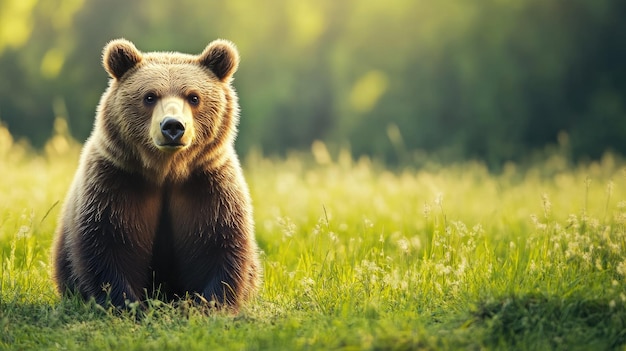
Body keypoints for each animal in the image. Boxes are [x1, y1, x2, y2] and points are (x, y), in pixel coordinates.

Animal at [50, 39, 260, 314]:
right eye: (149, 96)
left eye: (194, 97)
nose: (173, 126)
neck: (166, 172)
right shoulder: (116, 181)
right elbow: (109, 243)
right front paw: (127, 305)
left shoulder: (207, 184)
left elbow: (218, 242)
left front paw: (208, 305)